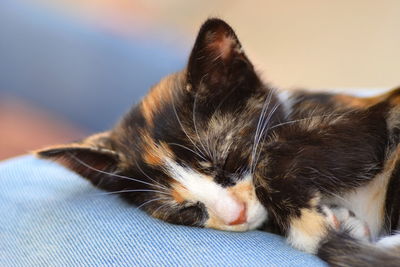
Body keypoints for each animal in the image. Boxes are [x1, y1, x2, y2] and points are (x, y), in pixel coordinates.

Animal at [38, 18, 400, 266]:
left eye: (229, 162)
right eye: (185, 210)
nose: (235, 216)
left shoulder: (376, 118)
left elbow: (273, 157)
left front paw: (313, 228)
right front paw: (337, 222)